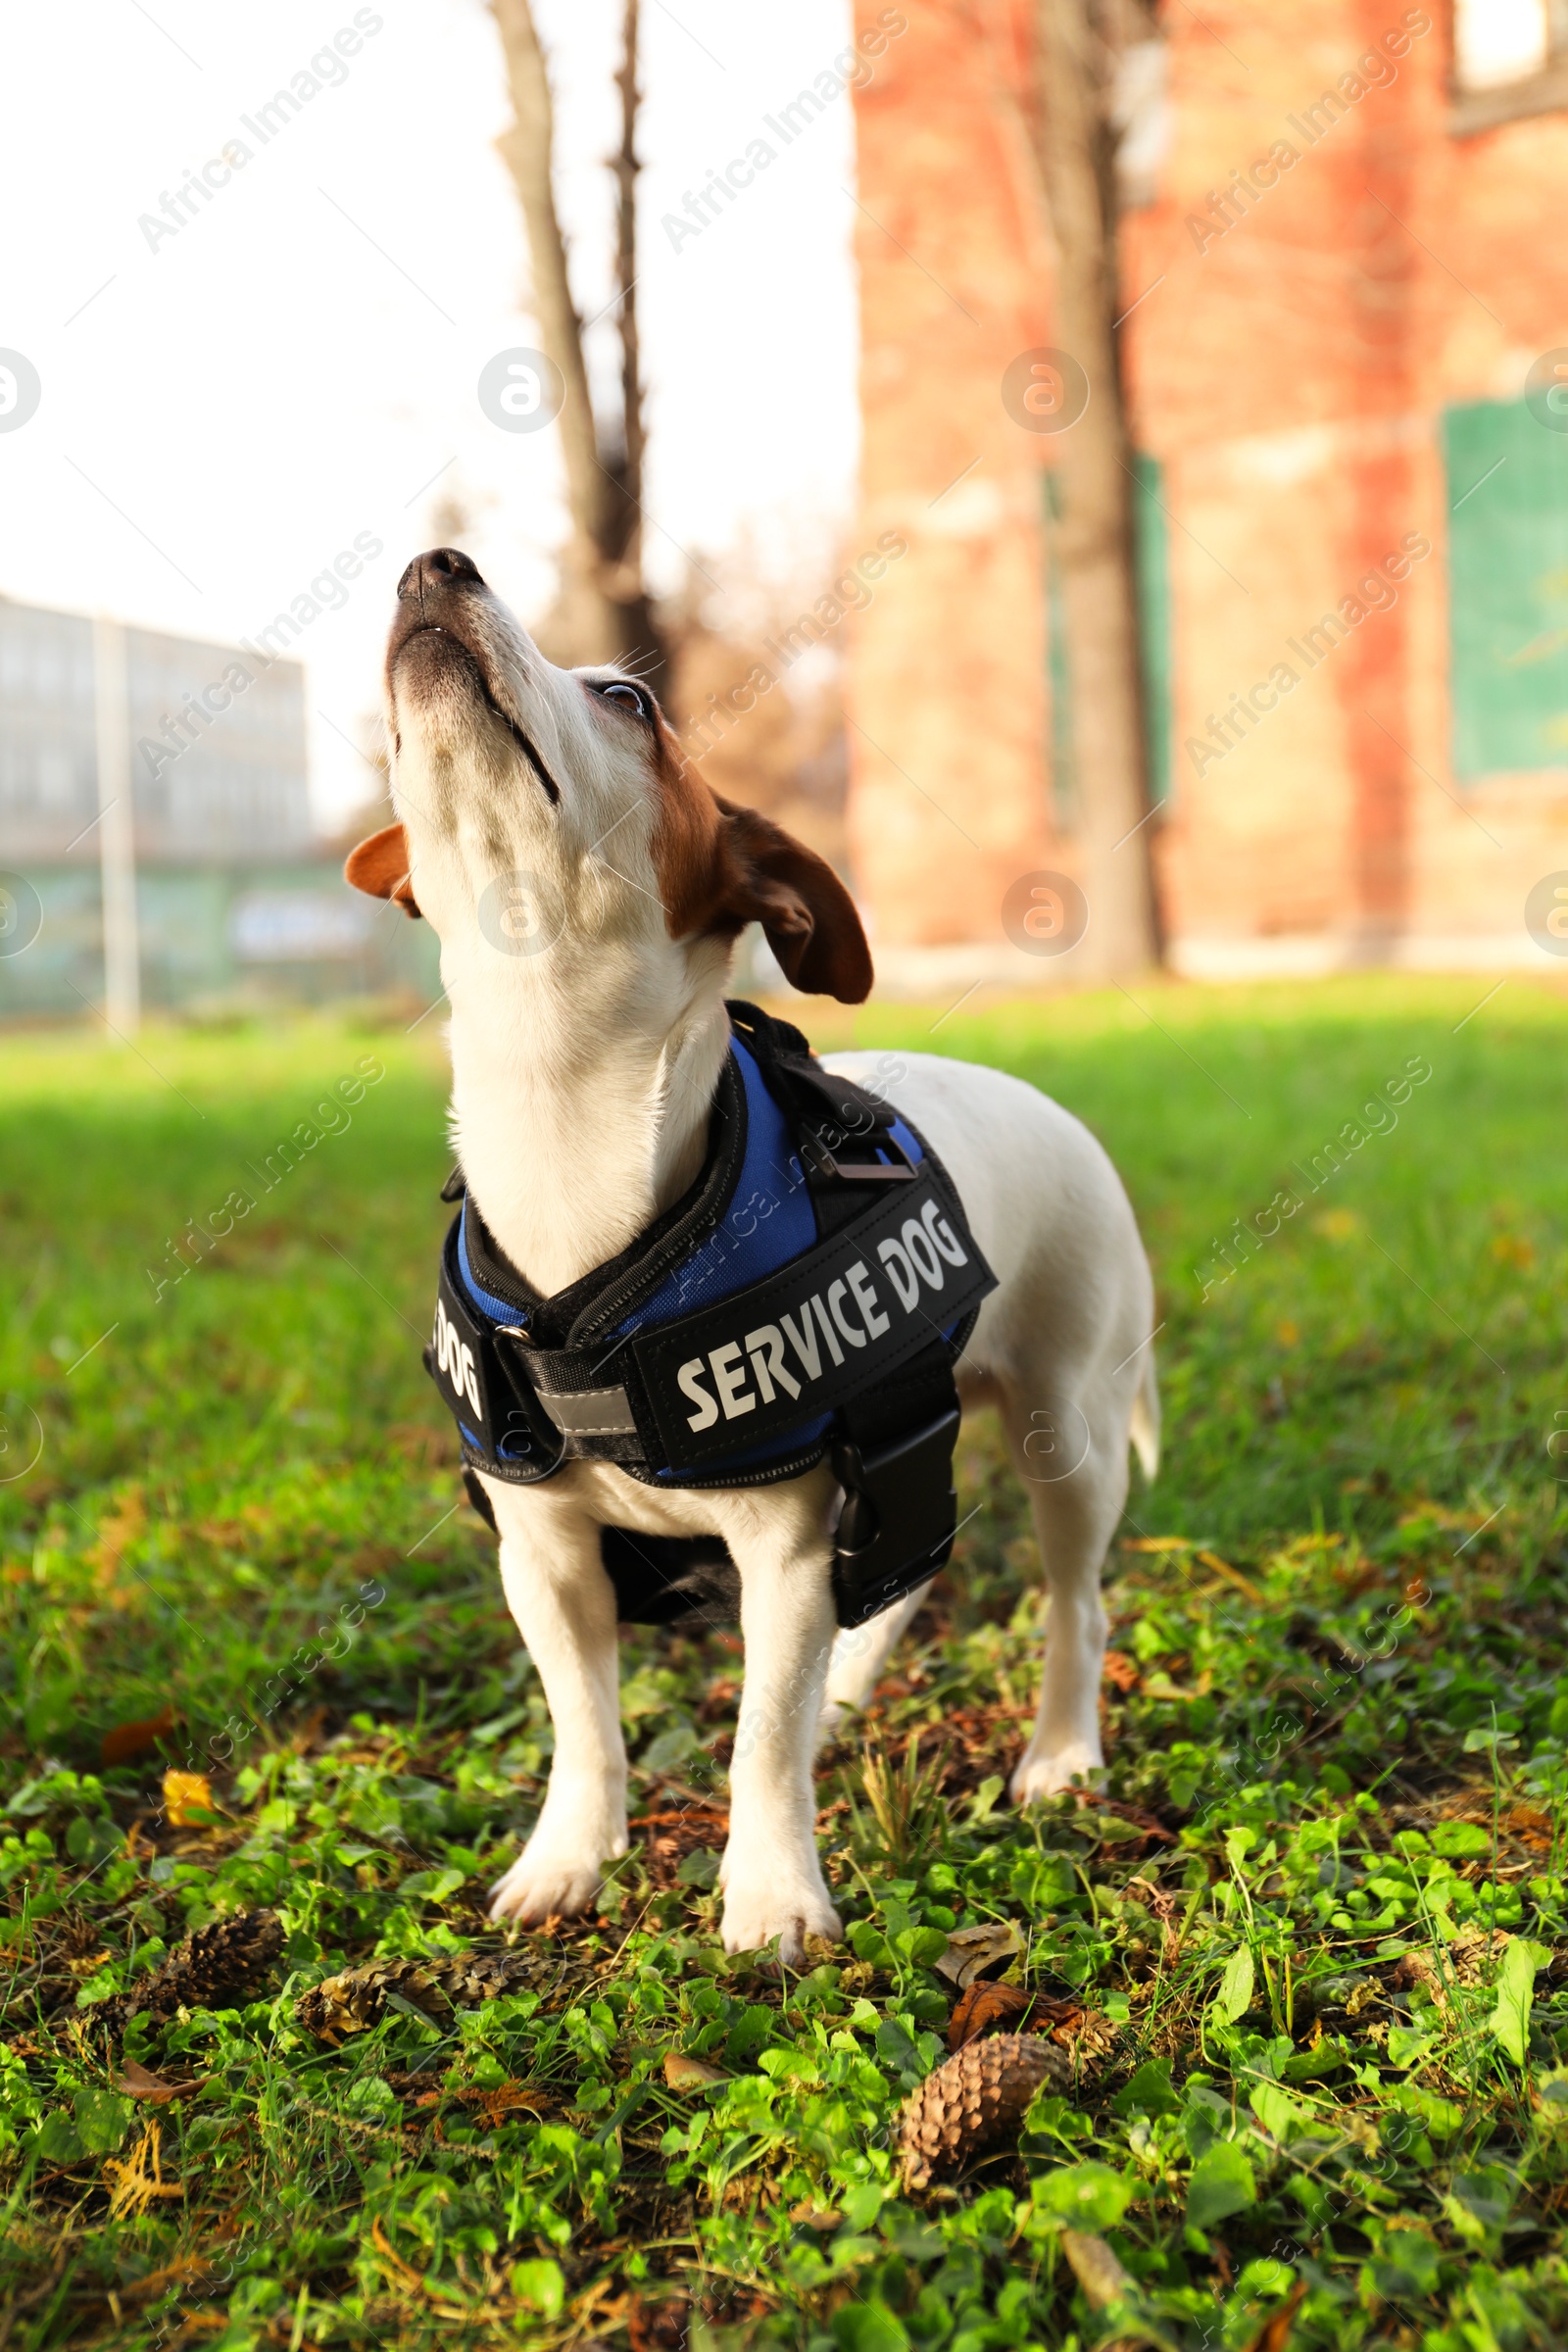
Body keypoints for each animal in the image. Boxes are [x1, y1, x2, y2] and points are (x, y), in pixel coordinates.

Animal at [350, 545, 1161, 1966]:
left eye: (626, 697)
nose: (434, 564)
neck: (560, 1113)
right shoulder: (543, 1555)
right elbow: (584, 1724)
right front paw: (569, 1857)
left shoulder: (780, 1554)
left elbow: (756, 1744)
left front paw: (773, 1892)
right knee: (899, 1579)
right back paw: (854, 1690)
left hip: (1069, 1431)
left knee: (1073, 1601)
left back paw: (1060, 1754)